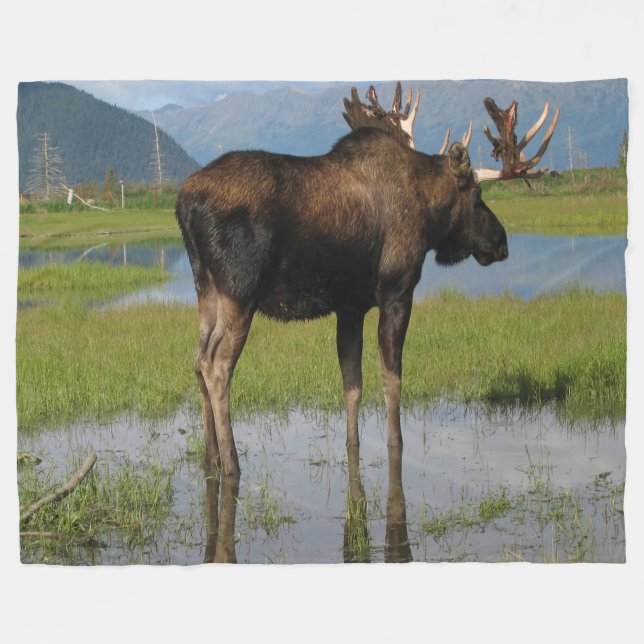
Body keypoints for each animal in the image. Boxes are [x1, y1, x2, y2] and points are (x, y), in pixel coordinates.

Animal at [176, 82, 560, 476]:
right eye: (478, 195)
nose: (501, 243)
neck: (429, 213)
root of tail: (183, 203)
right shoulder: (397, 291)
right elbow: (392, 378)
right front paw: (396, 444)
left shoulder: (350, 306)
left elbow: (352, 383)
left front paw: (352, 447)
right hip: (240, 291)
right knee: (217, 366)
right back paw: (231, 462)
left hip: (206, 289)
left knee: (198, 360)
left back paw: (210, 457)